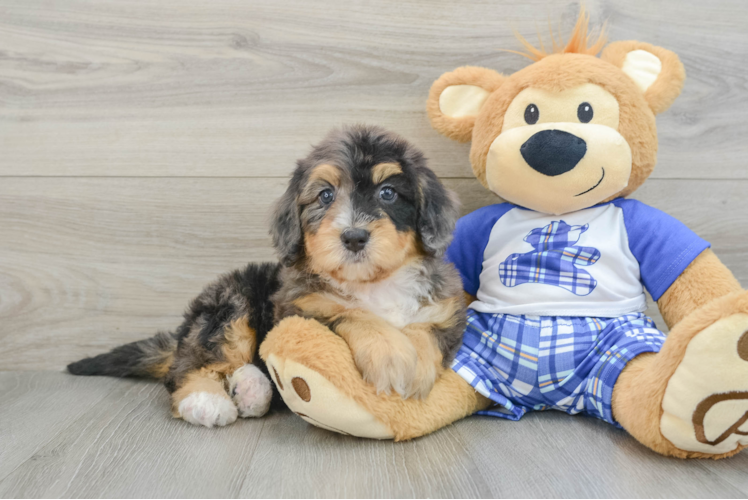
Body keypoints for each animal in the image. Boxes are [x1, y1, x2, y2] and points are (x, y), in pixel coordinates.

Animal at [70, 125, 468, 426]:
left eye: (388, 193)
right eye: (325, 195)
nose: (354, 236)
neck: (373, 283)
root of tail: (183, 332)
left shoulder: (448, 311)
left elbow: (426, 330)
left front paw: (416, 365)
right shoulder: (300, 307)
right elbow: (349, 311)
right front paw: (391, 354)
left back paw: (251, 388)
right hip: (230, 305)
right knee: (192, 366)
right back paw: (206, 400)